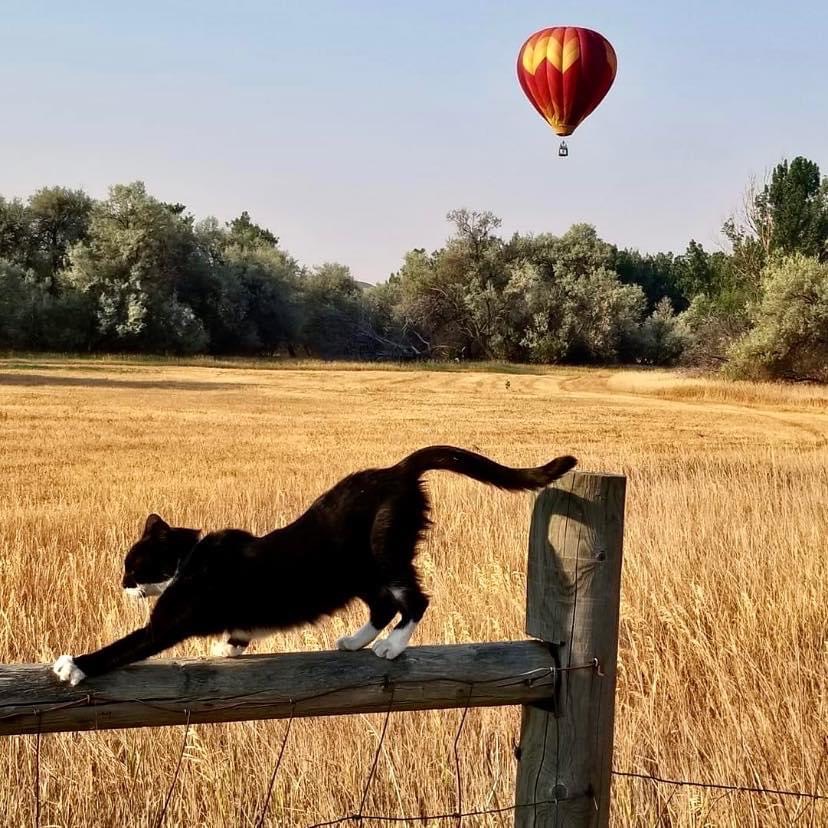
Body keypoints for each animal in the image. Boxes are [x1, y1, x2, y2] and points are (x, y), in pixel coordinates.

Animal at [53, 446, 576, 684]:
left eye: (134, 566)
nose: (122, 584)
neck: (189, 559)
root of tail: (397, 469)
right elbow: (238, 633)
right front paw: (229, 647)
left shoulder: (168, 623)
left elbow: (125, 646)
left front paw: (73, 665)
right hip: (353, 571)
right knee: (383, 606)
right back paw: (355, 642)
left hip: (385, 551)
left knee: (416, 599)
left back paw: (391, 648)